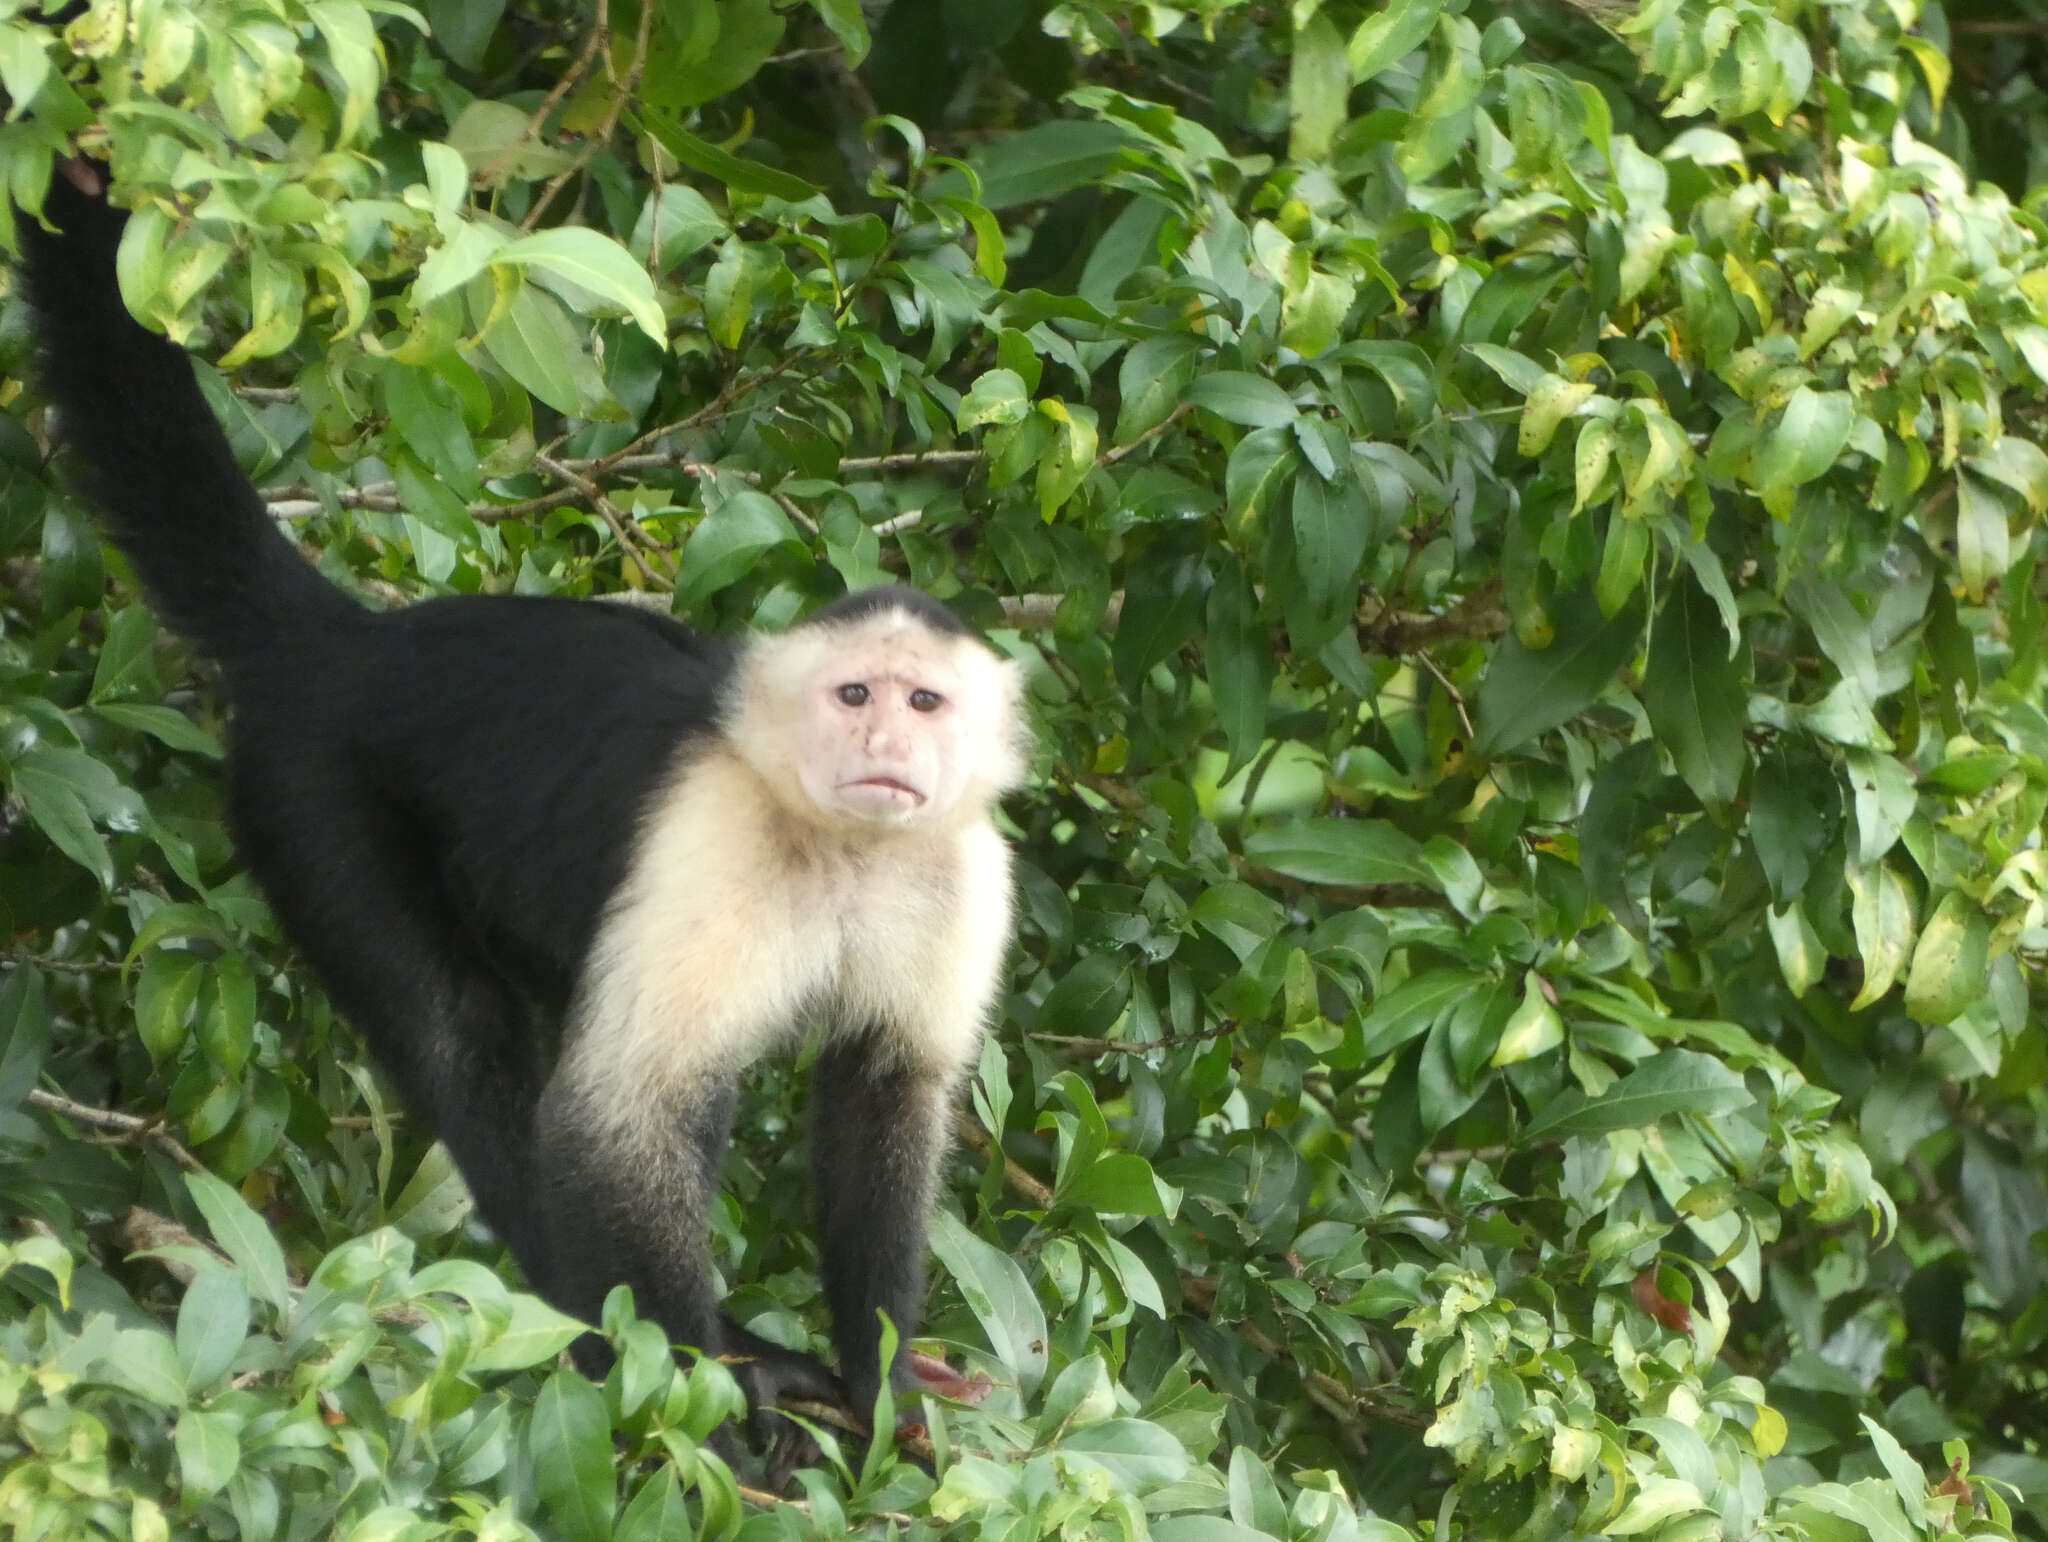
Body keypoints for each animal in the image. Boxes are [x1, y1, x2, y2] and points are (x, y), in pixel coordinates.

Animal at [24, 165, 1032, 1466]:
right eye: (852, 696)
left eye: (923, 702)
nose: (885, 749)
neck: (841, 843)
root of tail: (351, 648)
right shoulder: (713, 834)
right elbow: (616, 1127)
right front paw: (692, 1409)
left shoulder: (961, 875)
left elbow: (884, 1102)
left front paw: (881, 1385)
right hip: (316, 794)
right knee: (471, 1040)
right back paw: (619, 1337)